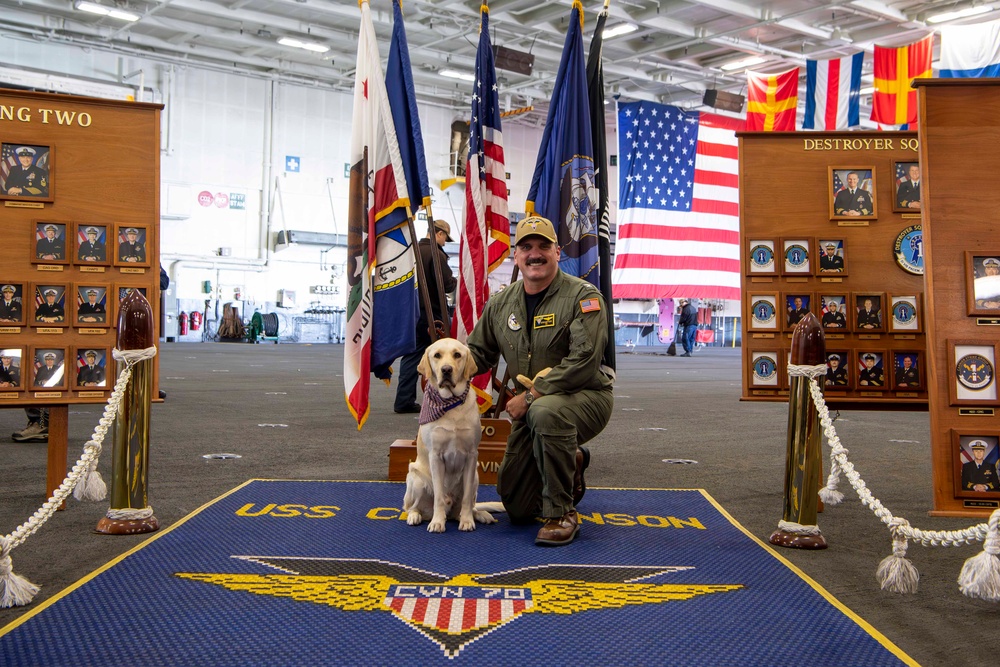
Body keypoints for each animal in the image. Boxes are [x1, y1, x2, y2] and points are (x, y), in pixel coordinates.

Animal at [400, 340, 498, 532]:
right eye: (437, 355)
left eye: (457, 355)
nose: (446, 370)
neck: (450, 405)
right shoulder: (436, 456)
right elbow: (438, 495)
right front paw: (437, 522)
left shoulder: (471, 455)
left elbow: (466, 499)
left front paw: (467, 521)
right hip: (415, 479)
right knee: (411, 507)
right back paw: (416, 516)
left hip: (476, 476)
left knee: (468, 507)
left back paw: (480, 515)